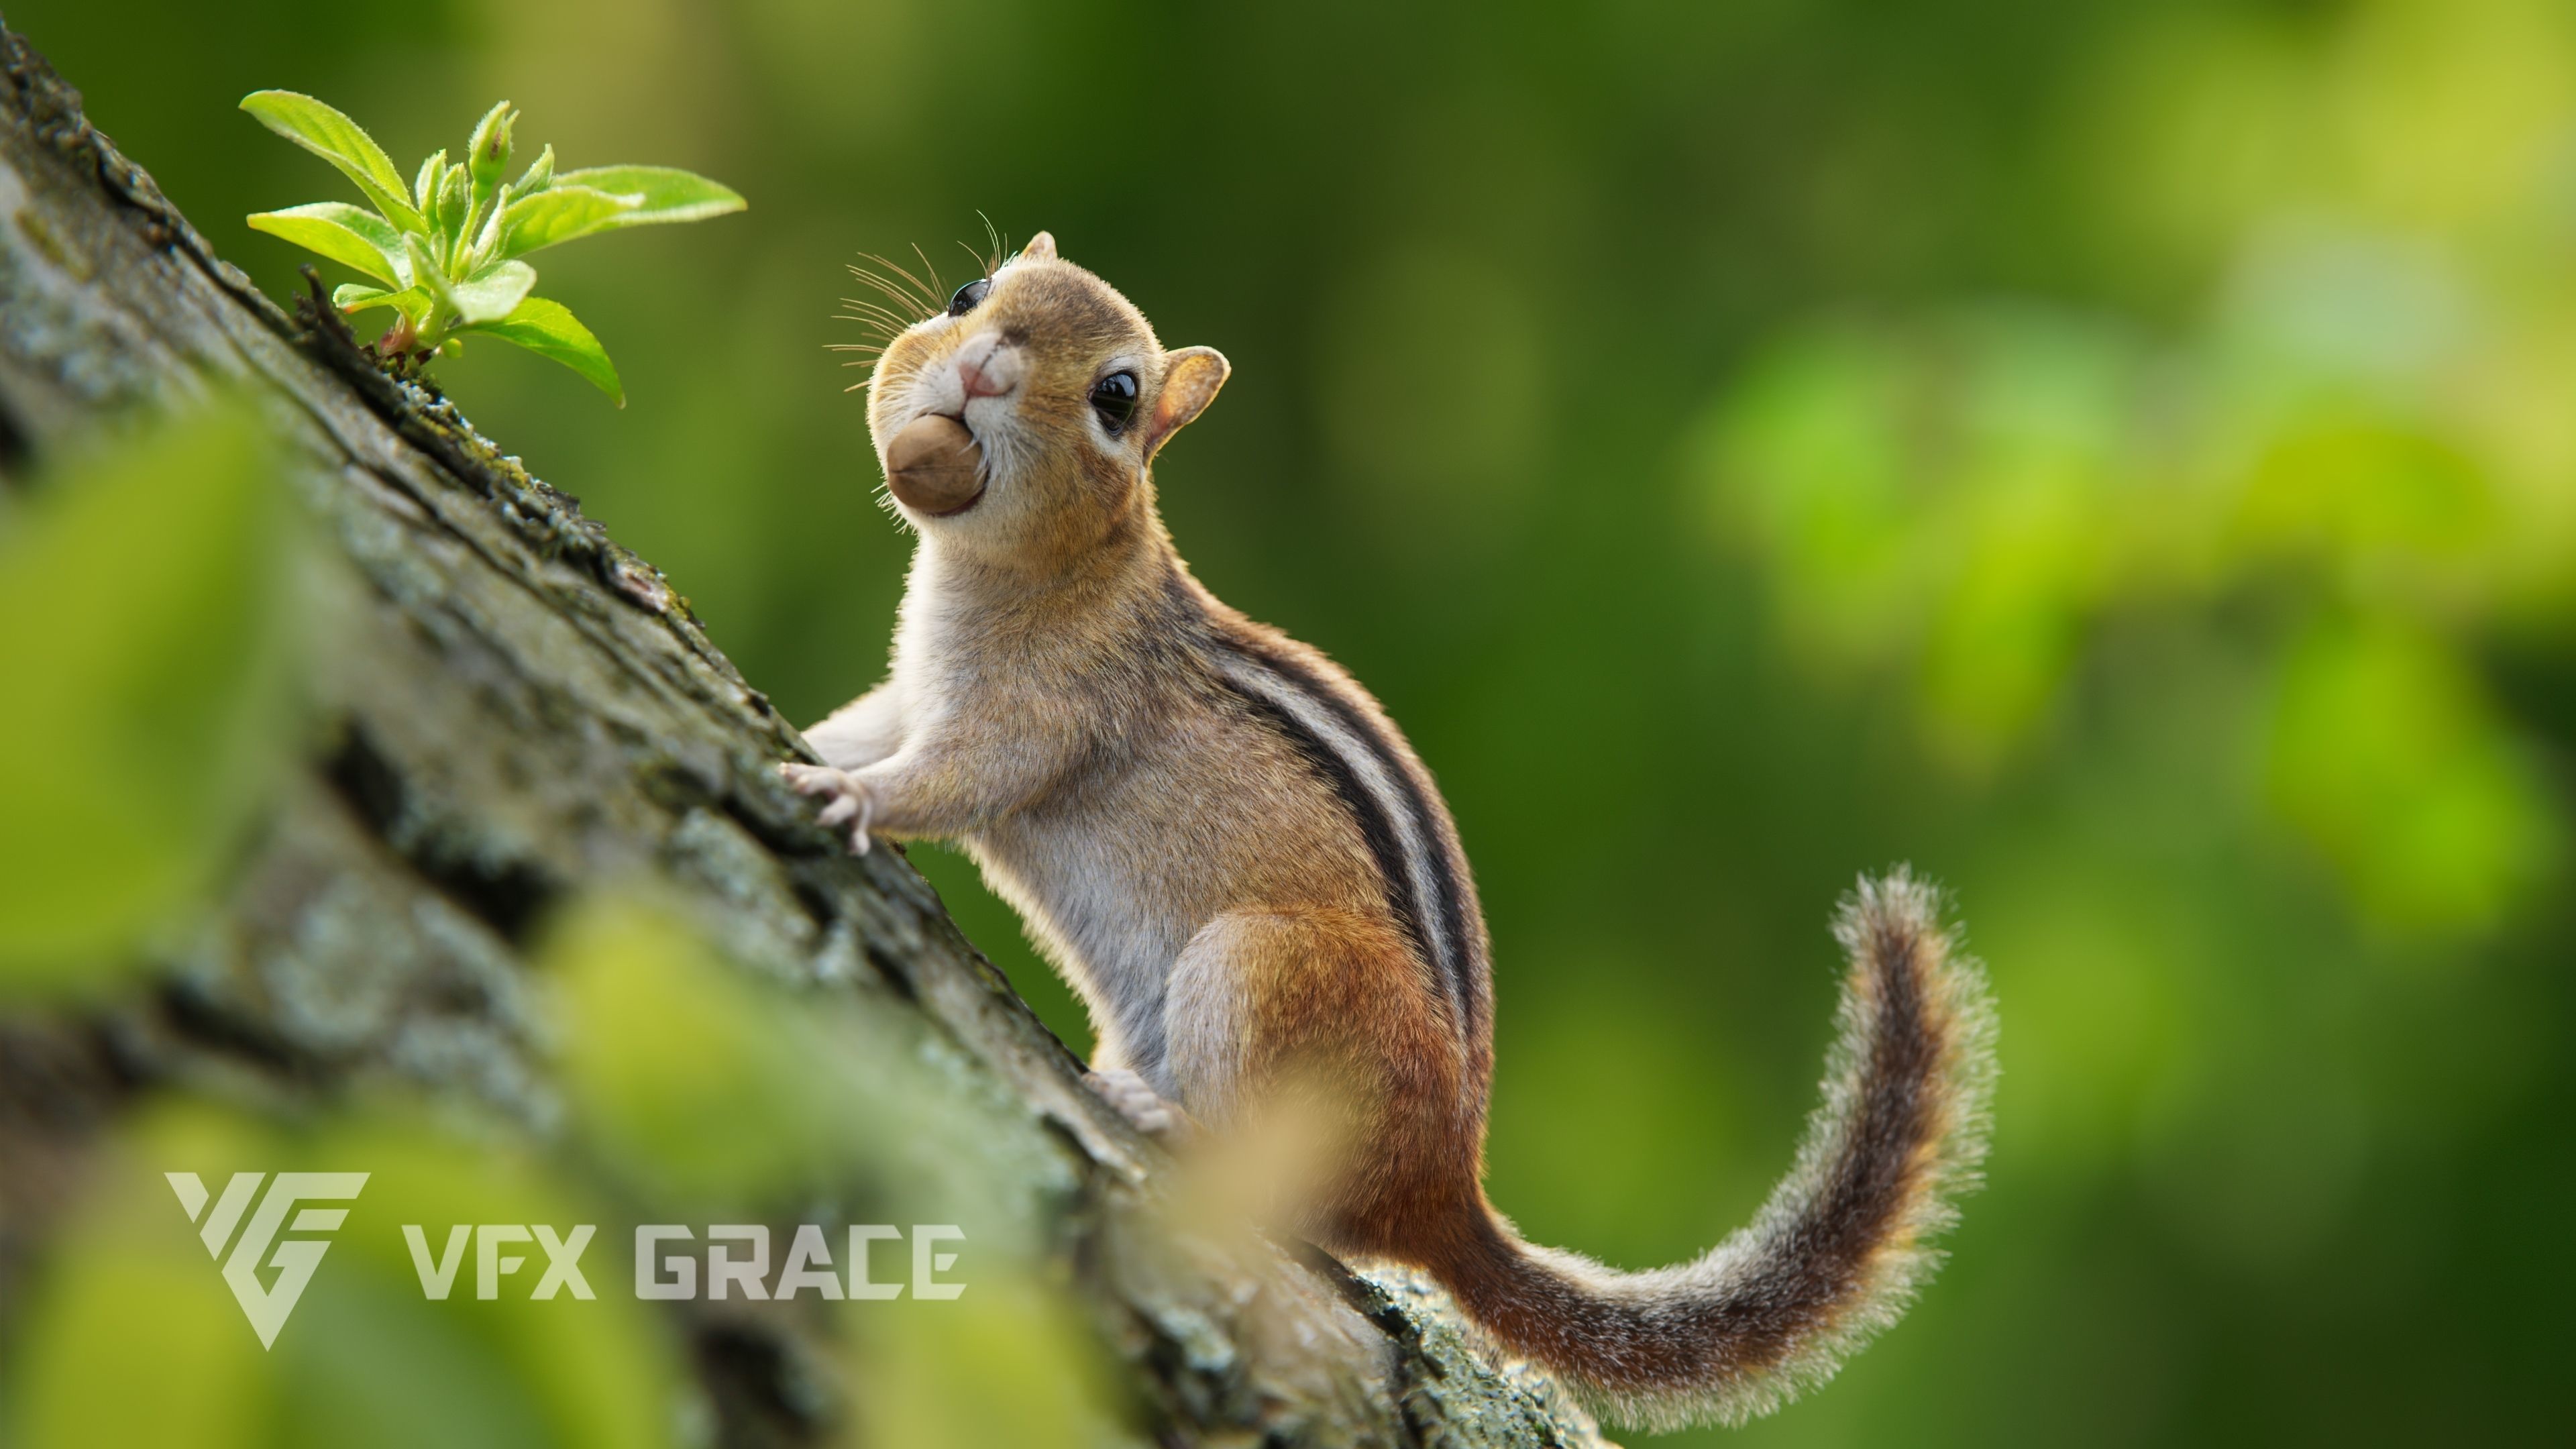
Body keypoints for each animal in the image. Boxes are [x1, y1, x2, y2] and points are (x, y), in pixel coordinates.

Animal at [785, 232, 1996, 1431]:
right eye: (970, 292)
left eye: (1116, 398)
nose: (984, 366)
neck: (1027, 570)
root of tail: (1445, 1192)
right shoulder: (913, 693)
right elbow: (864, 730)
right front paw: (811, 745)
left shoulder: (1040, 715)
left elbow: (954, 780)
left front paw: (856, 803)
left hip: (1256, 965)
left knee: (1285, 1199)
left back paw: (1165, 1123)